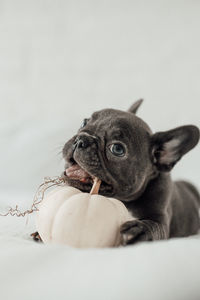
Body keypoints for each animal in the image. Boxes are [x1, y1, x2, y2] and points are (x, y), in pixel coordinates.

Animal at [31, 99, 200, 245]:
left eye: (117, 149)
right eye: (84, 122)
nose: (81, 140)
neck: (125, 201)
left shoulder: (161, 219)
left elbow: (154, 227)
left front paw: (139, 230)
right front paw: (39, 234)